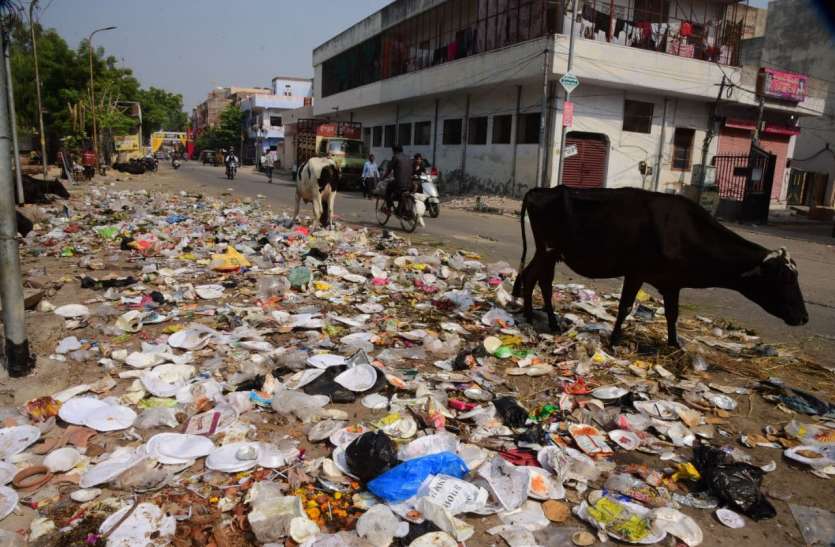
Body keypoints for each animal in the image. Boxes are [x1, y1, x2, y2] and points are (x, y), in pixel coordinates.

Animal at [510, 188, 808, 346]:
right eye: (785, 278)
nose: (804, 317)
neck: (685, 233)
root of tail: (541, 190)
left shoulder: (672, 282)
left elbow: (672, 314)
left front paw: (674, 344)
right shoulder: (636, 272)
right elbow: (625, 307)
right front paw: (615, 340)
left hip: (548, 252)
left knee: (532, 277)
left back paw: (532, 315)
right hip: (549, 250)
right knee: (540, 280)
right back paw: (546, 320)